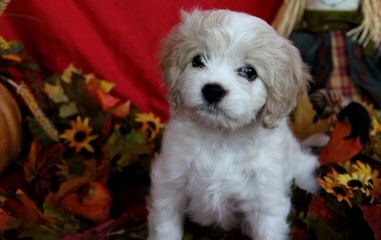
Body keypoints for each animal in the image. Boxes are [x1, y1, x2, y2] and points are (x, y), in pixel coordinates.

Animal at [148, 8, 318, 240]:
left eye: (249, 72)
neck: (220, 137)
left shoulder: (266, 202)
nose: (212, 90)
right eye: (198, 60)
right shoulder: (170, 183)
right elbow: (165, 226)